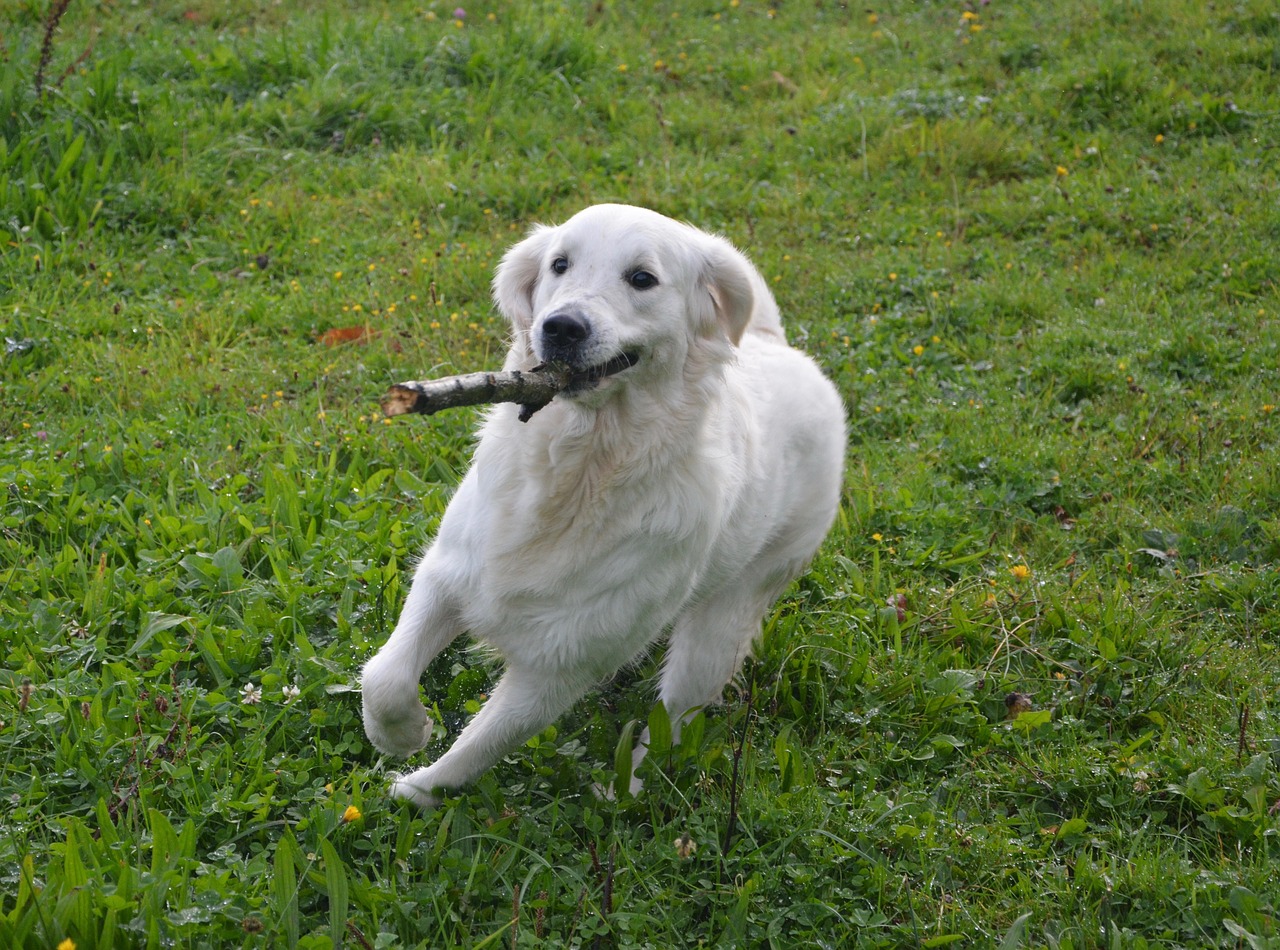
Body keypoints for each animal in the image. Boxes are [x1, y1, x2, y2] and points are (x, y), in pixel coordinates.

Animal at [363, 204, 839, 809]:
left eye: (642, 278)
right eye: (559, 264)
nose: (562, 328)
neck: (584, 465)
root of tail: (780, 348)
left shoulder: (563, 663)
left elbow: (484, 743)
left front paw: (419, 788)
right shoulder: (449, 573)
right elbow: (383, 676)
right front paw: (400, 734)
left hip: (723, 622)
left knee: (673, 724)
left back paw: (623, 791)